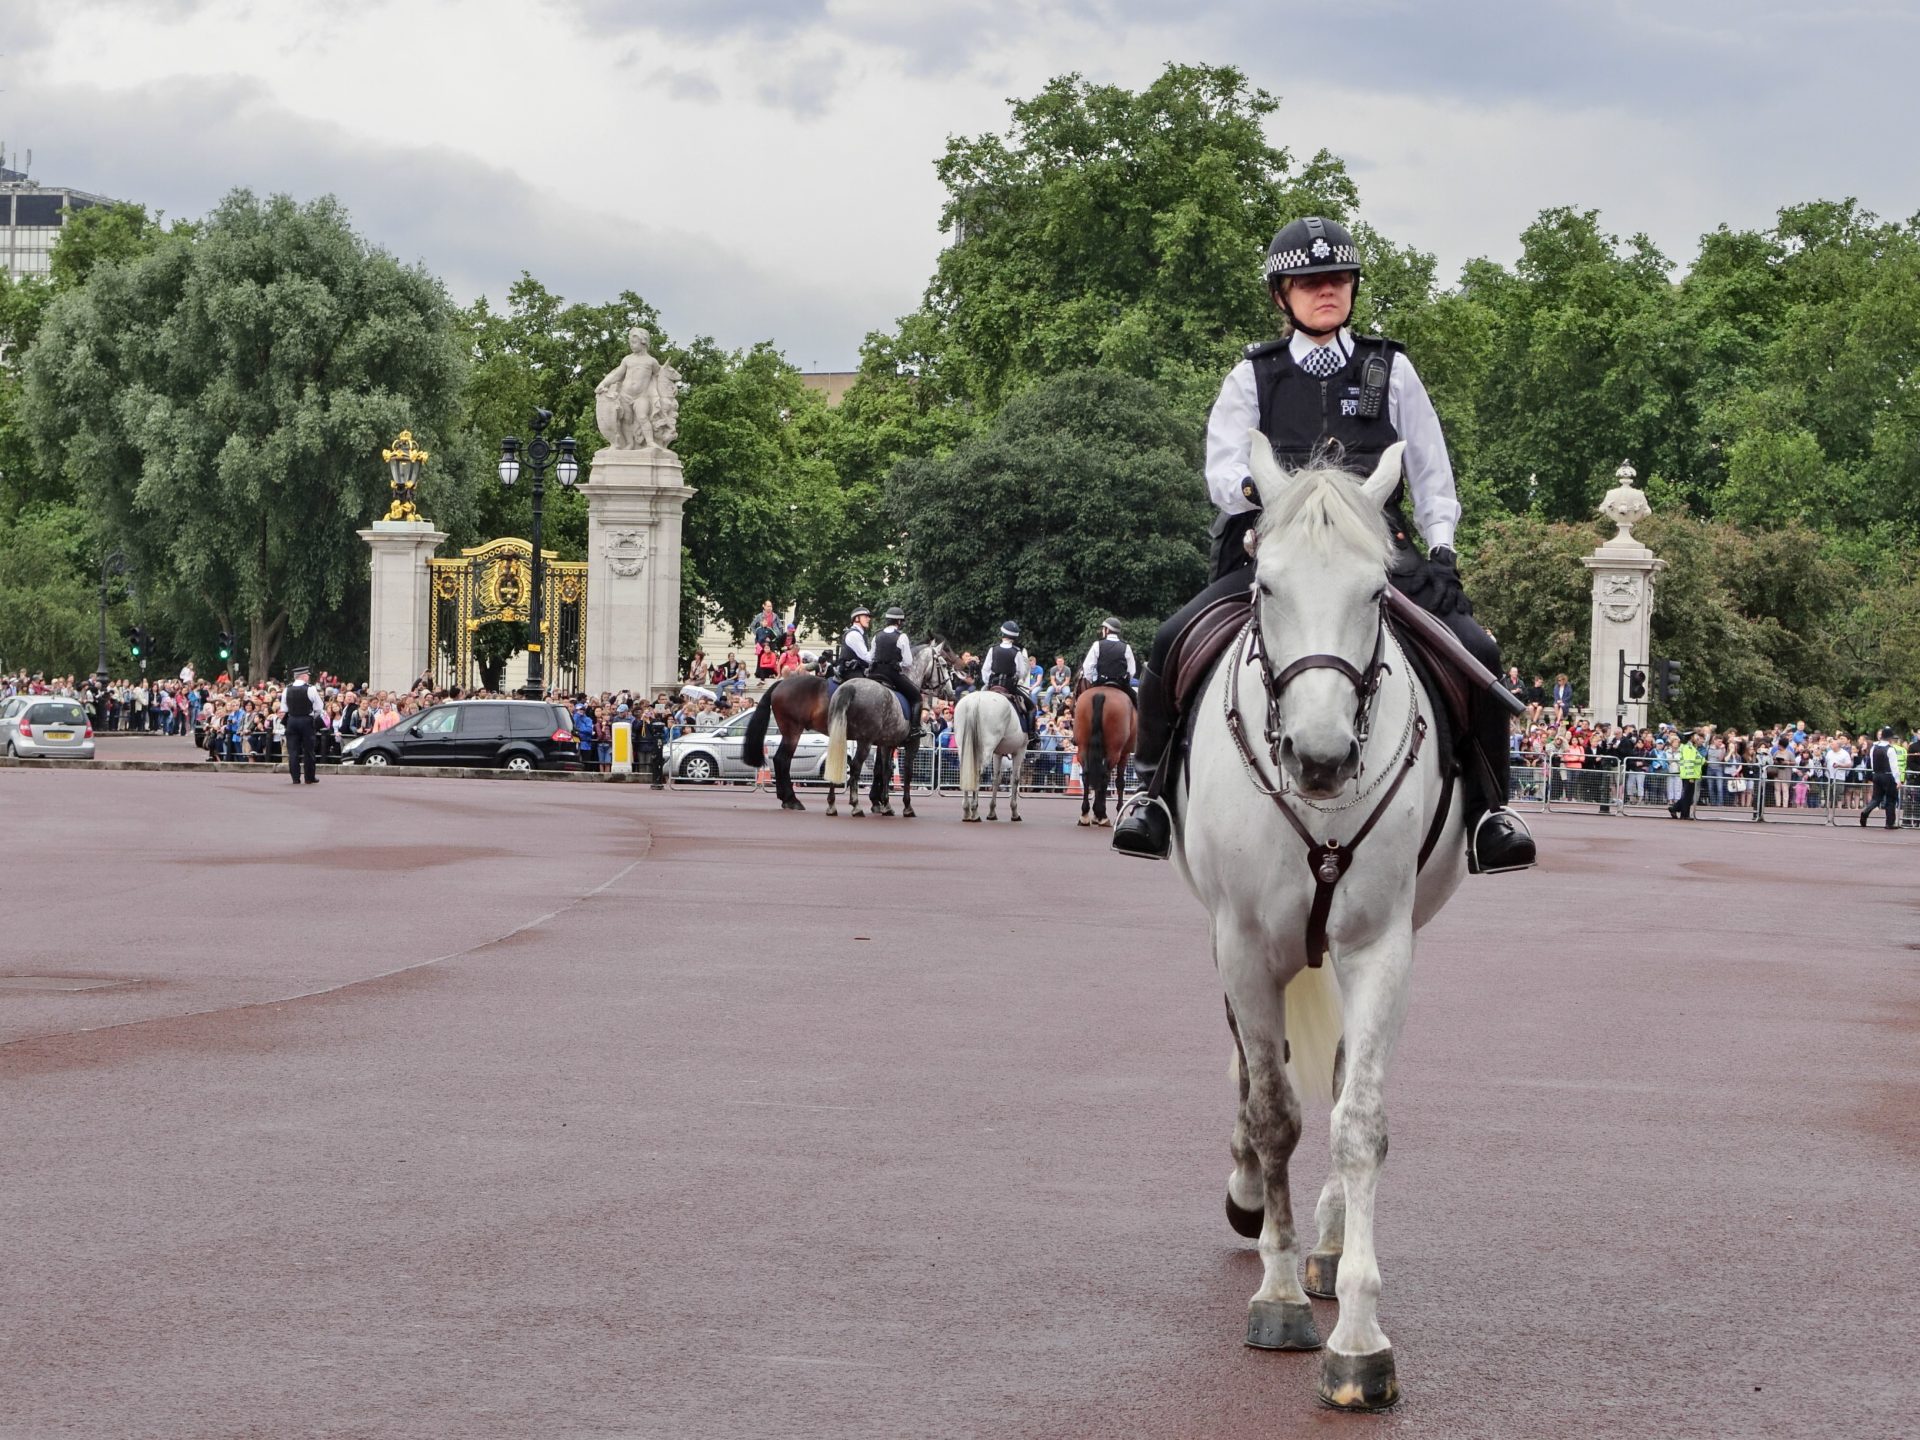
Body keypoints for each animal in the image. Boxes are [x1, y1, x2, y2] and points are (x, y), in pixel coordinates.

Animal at [952, 691, 1029, 821]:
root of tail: (975, 699)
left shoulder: (998, 754)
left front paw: (992, 811)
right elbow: (1015, 779)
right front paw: (1014, 812)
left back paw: (966, 811)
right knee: (978, 772)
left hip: (964, 747)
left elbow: (996, 779)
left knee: (966, 771)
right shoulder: (1019, 751)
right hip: (987, 748)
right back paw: (974, 811)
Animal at [1075, 683, 1128, 829]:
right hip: (1114, 751)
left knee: (1087, 775)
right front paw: (1116, 814)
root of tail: (1101, 694)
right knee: (1105, 777)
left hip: (1083, 746)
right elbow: (1119, 782)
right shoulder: (1124, 754)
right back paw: (1103, 816)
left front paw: (1095, 814)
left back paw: (1085, 815)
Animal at [1167, 437, 1466, 1413]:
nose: (1324, 759)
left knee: (1334, 1080)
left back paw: (1330, 1248)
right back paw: (1255, 1199)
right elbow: (1272, 1112)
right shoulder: (1241, 944)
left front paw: (1359, 1338)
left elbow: (1356, 1118)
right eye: (1265, 583)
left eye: (1379, 591)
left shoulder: (1381, 947)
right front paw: (1279, 1291)